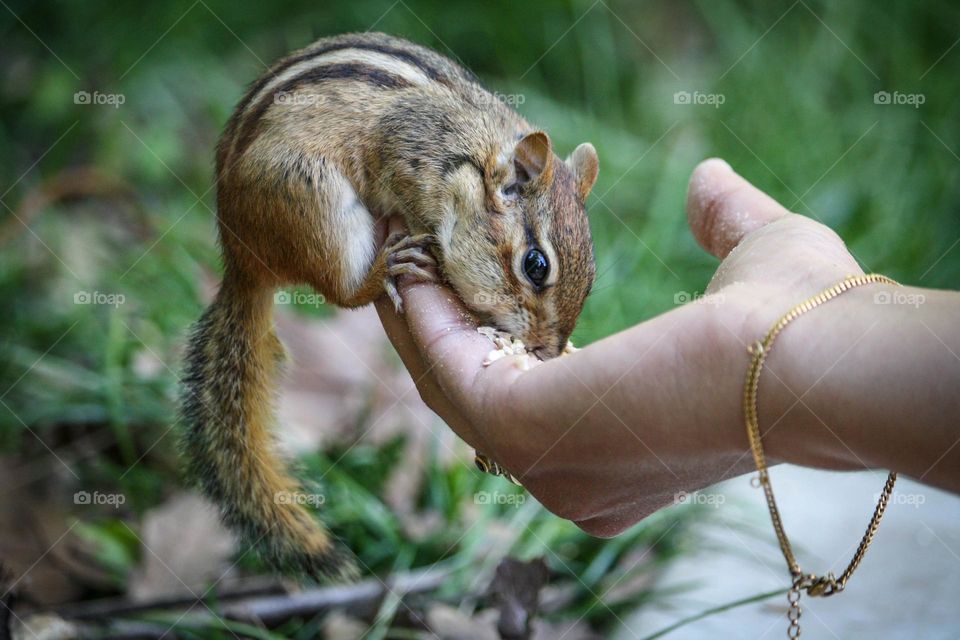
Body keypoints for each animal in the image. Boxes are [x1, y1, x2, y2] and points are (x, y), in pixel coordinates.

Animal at [181, 32, 599, 581]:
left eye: (590, 281)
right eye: (536, 265)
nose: (547, 353)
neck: (468, 155)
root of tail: (241, 261)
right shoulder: (402, 157)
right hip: (316, 203)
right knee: (343, 291)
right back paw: (386, 267)